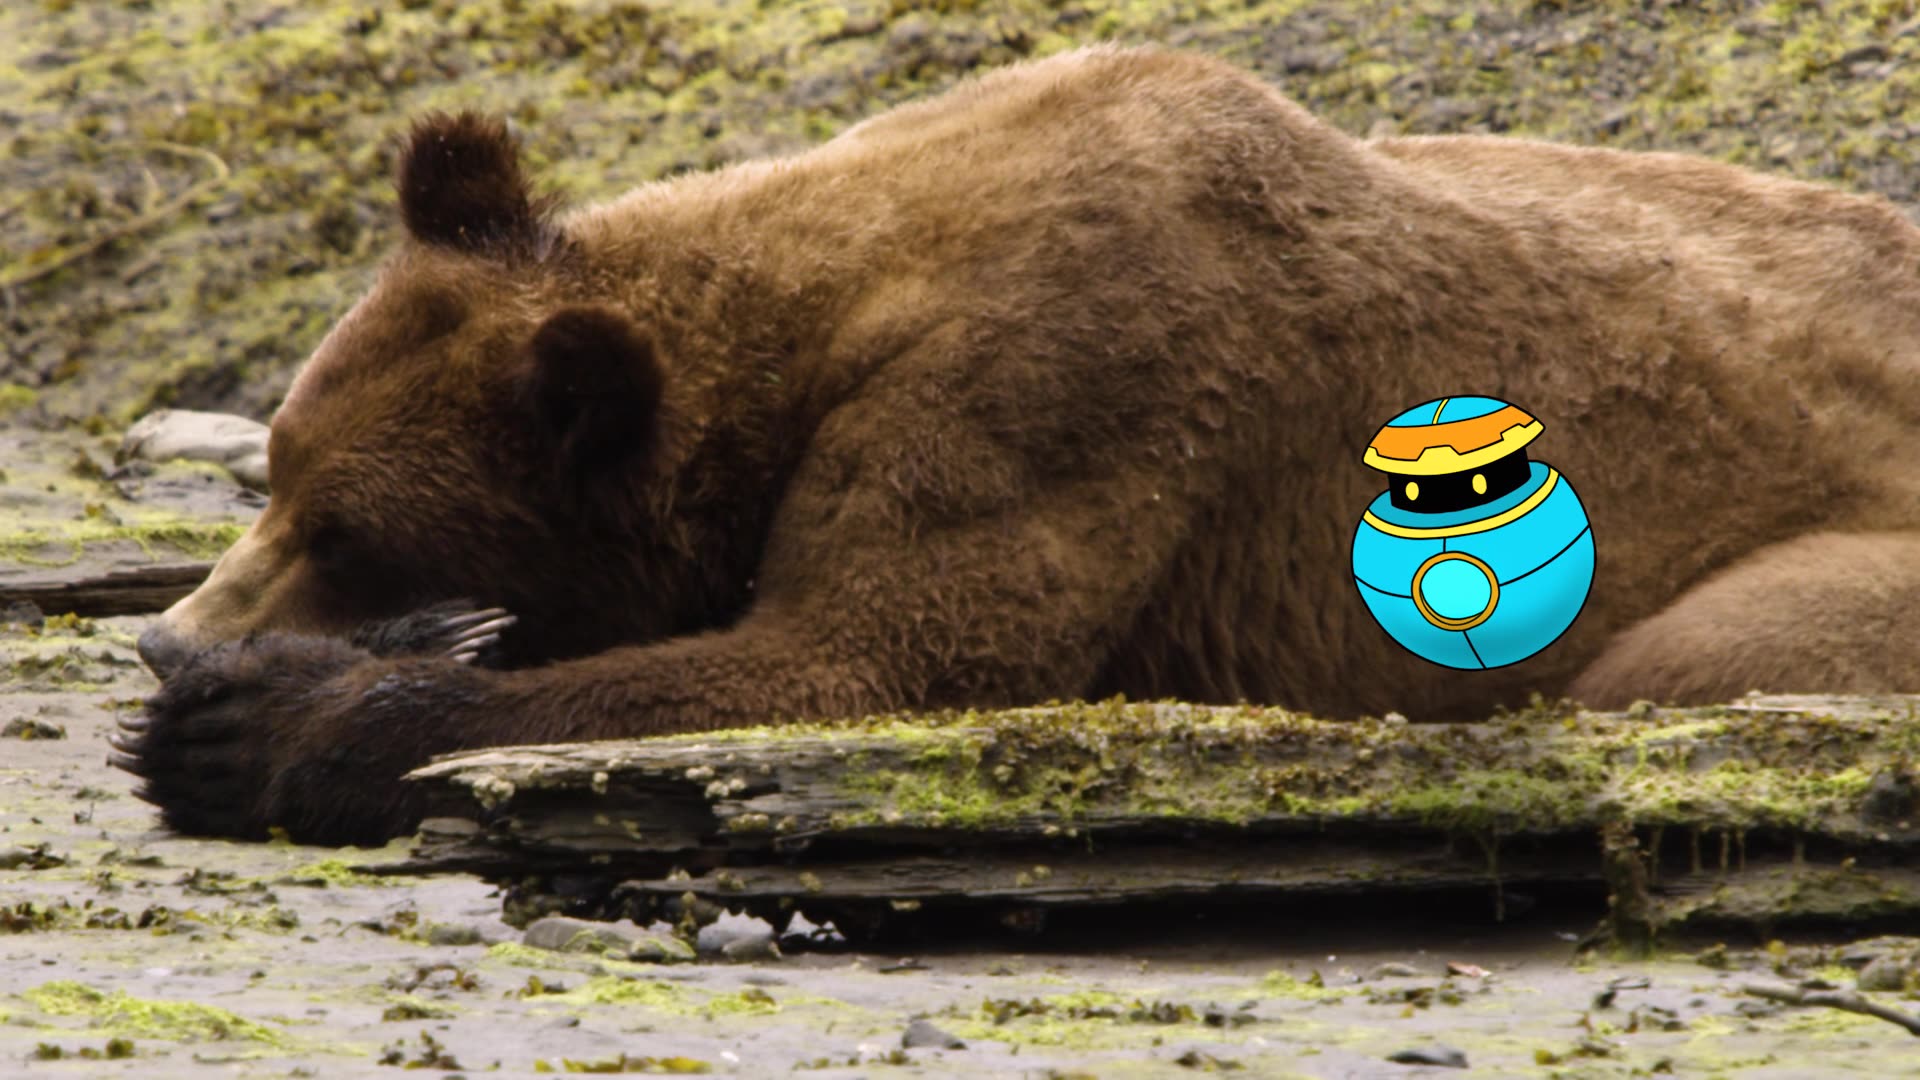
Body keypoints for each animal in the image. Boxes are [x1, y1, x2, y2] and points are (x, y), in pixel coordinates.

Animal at [113, 44, 1920, 846]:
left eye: (346, 531)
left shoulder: (1068, 371)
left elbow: (867, 656)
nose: (167, 640)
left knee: (1676, 661)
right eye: (276, 472)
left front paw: (259, 728)